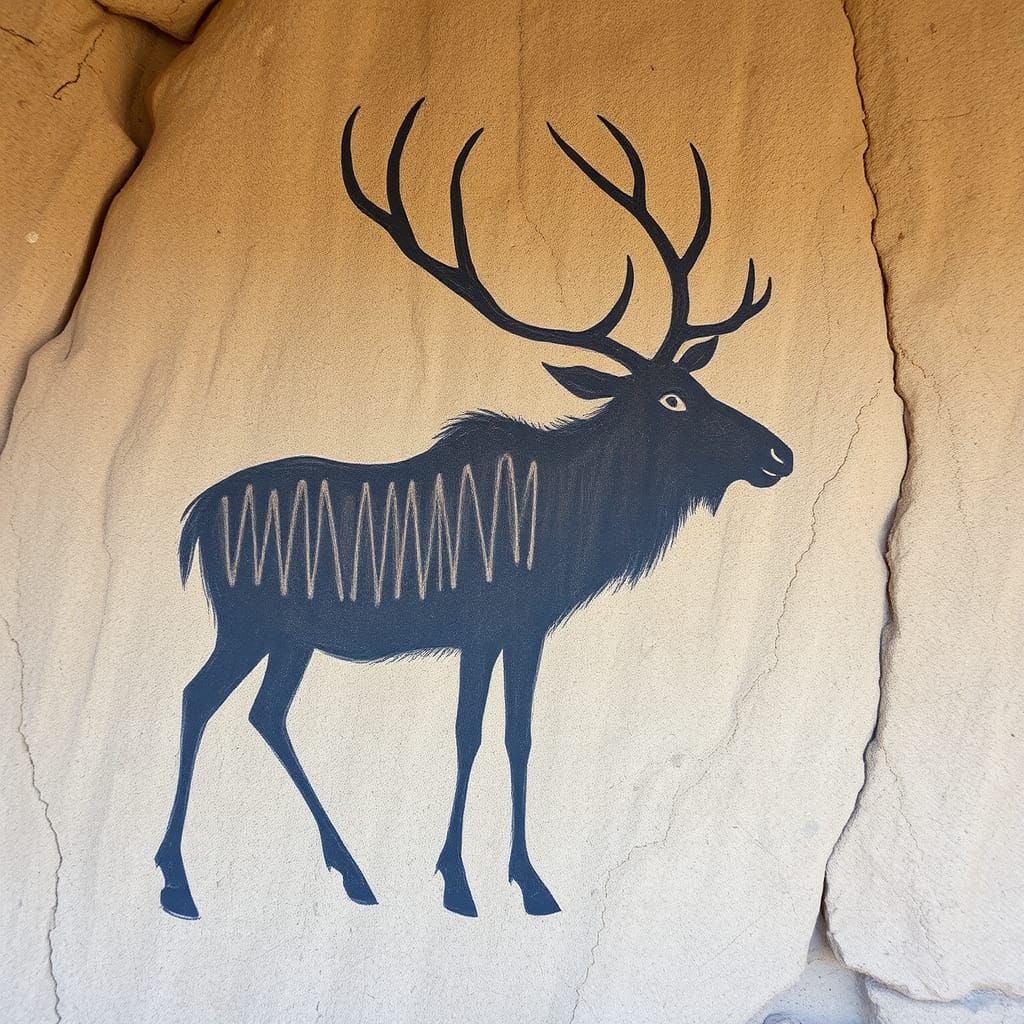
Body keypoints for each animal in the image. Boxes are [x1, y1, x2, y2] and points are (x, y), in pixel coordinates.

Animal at [155, 98, 793, 921]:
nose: (779, 454)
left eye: (701, 383)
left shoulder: (527, 628)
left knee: (264, 713)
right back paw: (178, 881)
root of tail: (195, 515)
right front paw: (460, 882)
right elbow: (469, 734)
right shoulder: (487, 623)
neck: (570, 523)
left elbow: (519, 736)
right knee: (197, 696)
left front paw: (528, 881)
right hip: (248, 618)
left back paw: (352, 872)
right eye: (674, 398)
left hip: (289, 635)